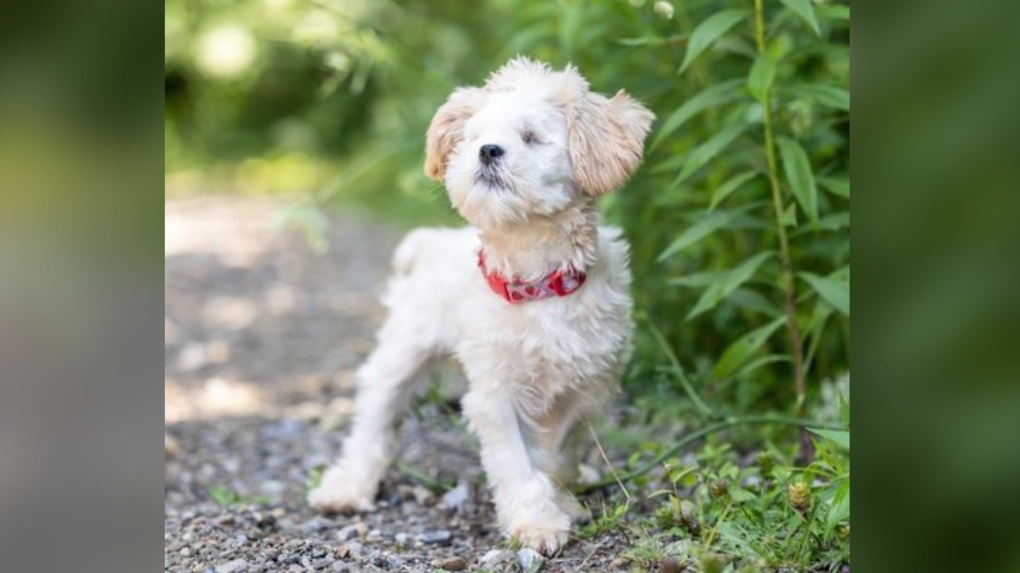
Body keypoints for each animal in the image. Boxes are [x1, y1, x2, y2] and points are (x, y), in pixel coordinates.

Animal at [303, 55, 652, 550]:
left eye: (531, 136)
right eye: (473, 137)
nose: (488, 150)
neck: (536, 281)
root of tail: (431, 242)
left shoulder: (586, 387)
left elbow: (555, 452)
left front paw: (561, 499)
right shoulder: (496, 393)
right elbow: (518, 462)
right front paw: (536, 522)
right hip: (400, 355)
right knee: (374, 419)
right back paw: (348, 487)